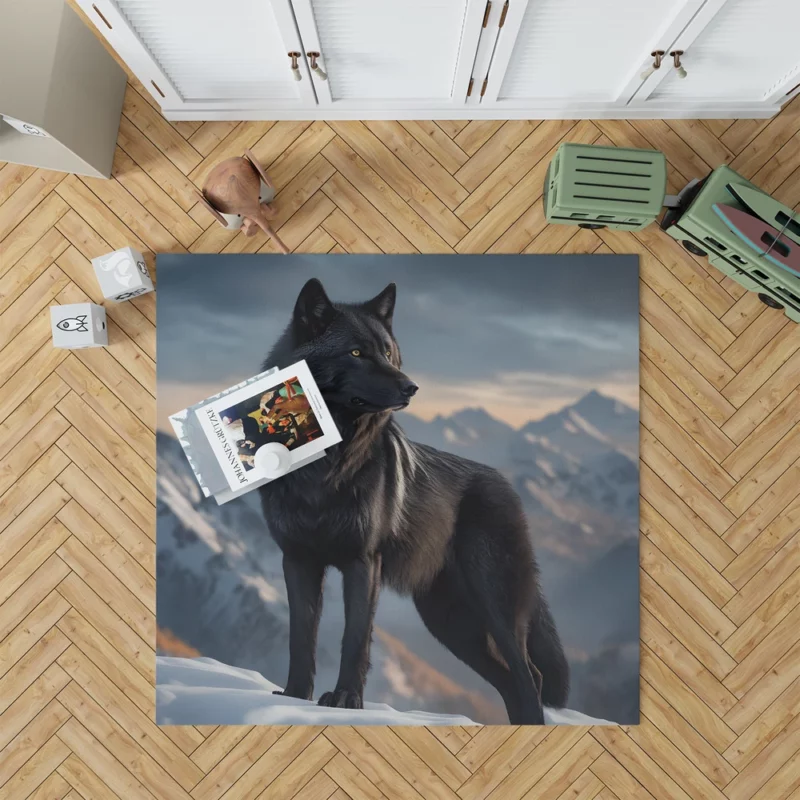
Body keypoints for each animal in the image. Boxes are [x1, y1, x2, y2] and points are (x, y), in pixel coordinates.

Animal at [258, 278, 568, 720]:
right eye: (356, 353)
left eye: (388, 353)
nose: (411, 387)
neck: (326, 468)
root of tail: (506, 486)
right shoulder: (298, 561)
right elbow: (301, 638)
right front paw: (295, 698)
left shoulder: (363, 563)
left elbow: (355, 639)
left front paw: (346, 700)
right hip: (451, 624)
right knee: (511, 681)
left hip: (495, 610)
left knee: (531, 677)